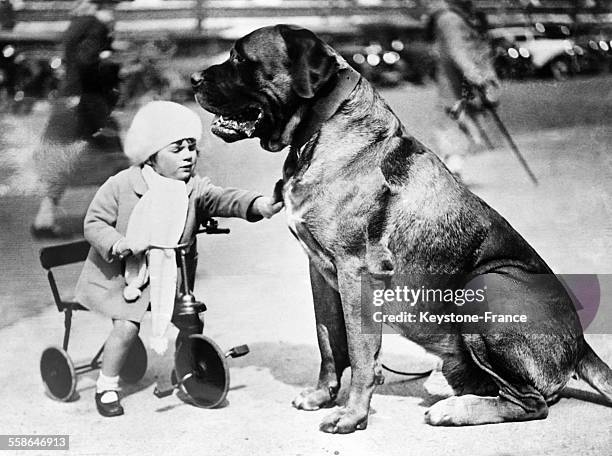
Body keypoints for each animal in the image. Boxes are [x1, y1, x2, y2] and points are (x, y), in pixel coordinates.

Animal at [191, 24, 612, 432]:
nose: (193, 78)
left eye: (239, 59)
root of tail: (582, 344)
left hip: (486, 285)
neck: (319, 129)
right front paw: (322, 395)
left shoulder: (355, 271)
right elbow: (328, 340)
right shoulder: (319, 272)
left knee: (531, 402)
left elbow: (360, 352)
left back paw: (453, 411)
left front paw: (351, 415)